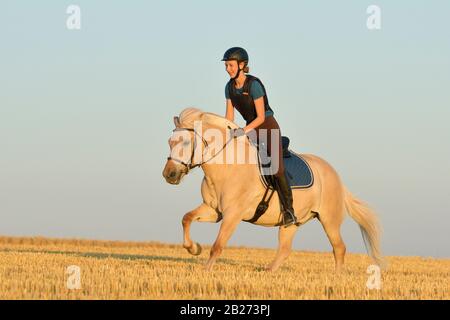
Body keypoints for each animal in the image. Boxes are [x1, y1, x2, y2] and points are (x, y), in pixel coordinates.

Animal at [162, 108, 384, 272]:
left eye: (185, 142)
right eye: (170, 142)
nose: (169, 174)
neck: (227, 166)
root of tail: (335, 176)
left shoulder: (233, 214)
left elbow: (217, 245)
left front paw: (206, 270)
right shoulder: (213, 210)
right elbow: (186, 218)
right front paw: (194, 248)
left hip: (329, 219)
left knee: (339, 248)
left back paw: (336, 277)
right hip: (291, 223)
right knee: (285, 249)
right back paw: (269, 271)